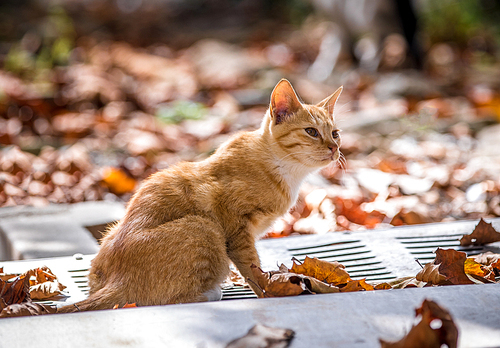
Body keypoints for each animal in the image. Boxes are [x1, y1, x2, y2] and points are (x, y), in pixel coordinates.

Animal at [56, 79, 342, 312]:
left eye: (335, 133)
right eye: (311, 131)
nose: (334, 148)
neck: (284, 169)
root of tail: (117, 279)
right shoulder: (237, 230)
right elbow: (253, 268)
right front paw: (270, 291)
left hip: (113, 233)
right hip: (204, 226)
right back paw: (210, 292)